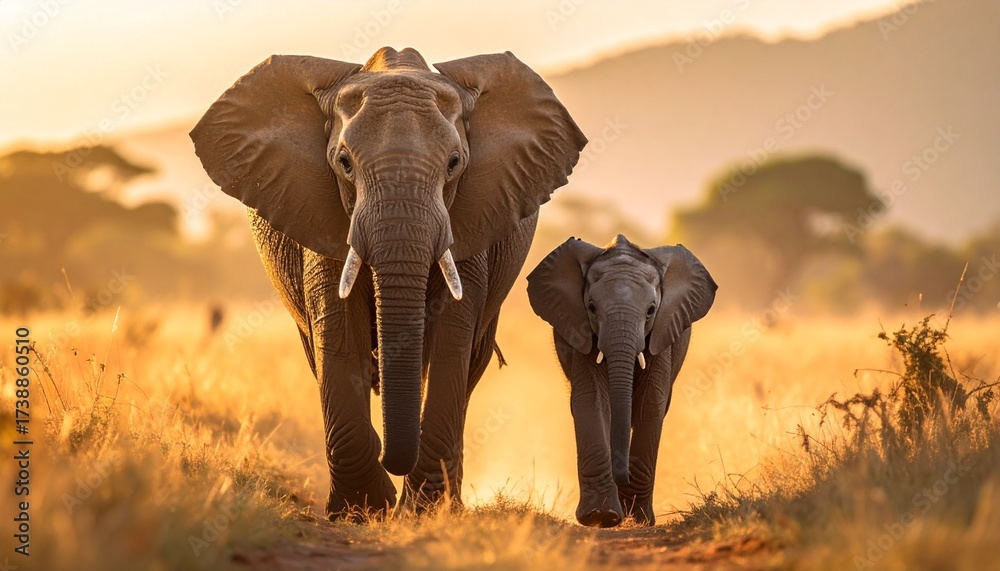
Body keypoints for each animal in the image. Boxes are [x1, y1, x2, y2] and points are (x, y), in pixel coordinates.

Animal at [190, 47, 587, 519]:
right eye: (343, 163)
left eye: (455, 163)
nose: (391, 460)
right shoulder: (322, 216)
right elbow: (339, 333)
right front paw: (361, 509)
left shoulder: (473, 218)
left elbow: (452, 339)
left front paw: (421, 512)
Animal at [526, 235, 717, 527]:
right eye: (592, 308)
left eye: (651, 310)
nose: (621, 475)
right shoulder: (581, 329)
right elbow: (592, 399)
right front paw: (601, 516)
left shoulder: (662, 332)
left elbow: (650, 402)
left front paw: (638, 518)